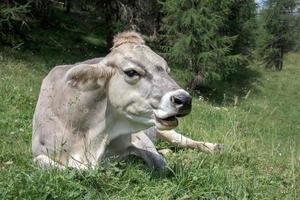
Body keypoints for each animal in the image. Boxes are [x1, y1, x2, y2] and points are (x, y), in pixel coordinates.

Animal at [32, 31, 223, 170]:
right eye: (131, 72)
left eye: (168, 70)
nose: (184, 99)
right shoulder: (39, 152)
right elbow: (62, 166)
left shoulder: (140, 138)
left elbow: (160, 164)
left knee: (183, 141)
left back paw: (212, 147)